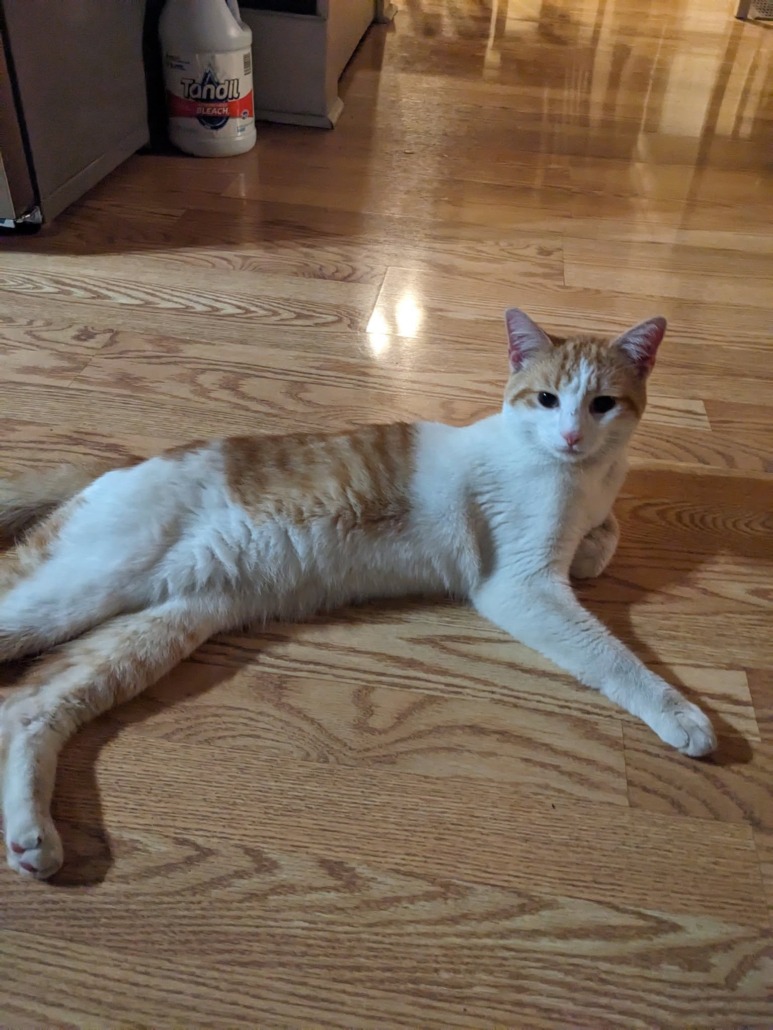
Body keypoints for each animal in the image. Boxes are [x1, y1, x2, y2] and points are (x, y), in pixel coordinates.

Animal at [0, 308, 716, 880]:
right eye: (546, 399)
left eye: (602, 405)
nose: (571, 436)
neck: (584, 477)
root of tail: (119, 465)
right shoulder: (521, 584)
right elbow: (610, 655)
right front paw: (681, 714)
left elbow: (607, 538)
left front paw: (596, 544)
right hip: (82, 586)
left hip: (161, 627)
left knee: (28, 707)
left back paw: (33, 838)